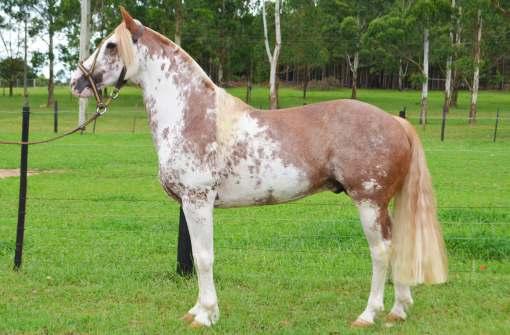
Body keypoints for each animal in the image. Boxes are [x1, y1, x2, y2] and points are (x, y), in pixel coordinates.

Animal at [68, 6, 446, 330]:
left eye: (111, 45)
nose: (76, 82)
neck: (193, 114)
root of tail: (397, 123)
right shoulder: (191, 204)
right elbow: (199, 255)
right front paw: (198, 310)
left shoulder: (198, 200)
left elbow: (203, 257)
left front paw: (205, 315)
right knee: (399, 245)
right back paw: (398, 310)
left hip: (369, 202)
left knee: (381, 252)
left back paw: (369, 314)